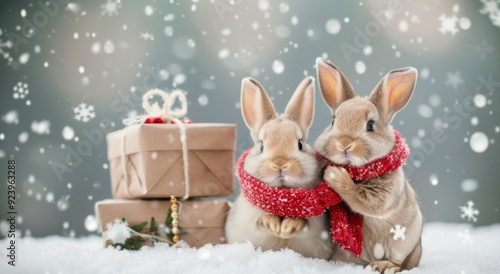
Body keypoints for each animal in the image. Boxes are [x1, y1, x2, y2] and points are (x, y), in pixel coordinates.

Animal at [226, 76, 334, 260]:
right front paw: (274, 226)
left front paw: (287, 228)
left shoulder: (317, 224)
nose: (280, 163)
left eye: (300, 144)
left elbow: (303, 224)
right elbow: (260, 222)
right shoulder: (248, 217)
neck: (281, 195)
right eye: (261, 146)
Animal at [314, 57, 424, 272]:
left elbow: (361, 198)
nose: (344, 144)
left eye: (370, 125)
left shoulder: (384, 195)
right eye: (333, 121)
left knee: (400, 263)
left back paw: (384, 266)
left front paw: (333, 174)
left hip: (404, 241)